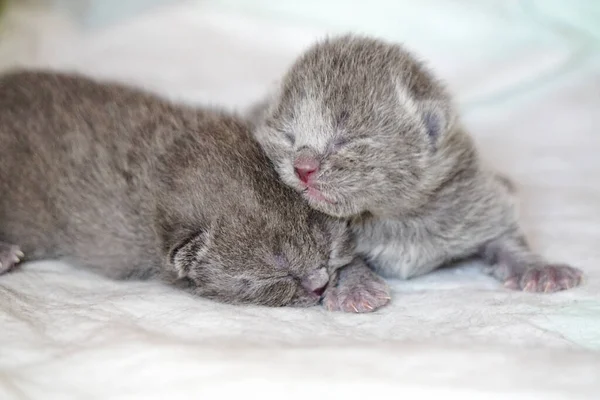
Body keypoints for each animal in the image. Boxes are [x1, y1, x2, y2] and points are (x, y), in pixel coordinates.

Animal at [251, 34, 584, 310]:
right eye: (289, 137)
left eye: (347, 140)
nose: (302, 168)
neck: (396, 217)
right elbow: (342, 258)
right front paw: (356, 287)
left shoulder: (471, 193)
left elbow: (504, 235)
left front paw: (539, 269)